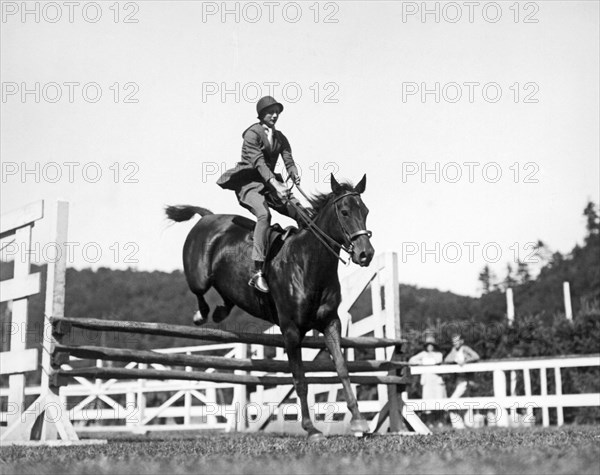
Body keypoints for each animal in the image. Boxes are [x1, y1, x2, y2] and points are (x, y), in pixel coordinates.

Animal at [165, 174, 376, 438]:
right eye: (345, 212)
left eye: (365, 211)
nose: (366, 254)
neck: (308, 262)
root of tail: (207, 217)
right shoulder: (291, 331)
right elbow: (300, 380)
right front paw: (310, 428)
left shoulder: (331, 322)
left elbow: (342, 369)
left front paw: (359, 422)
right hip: (199, 277)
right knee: (199, 292)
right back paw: (201, 315)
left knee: (226, 296)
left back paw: (221, 311)